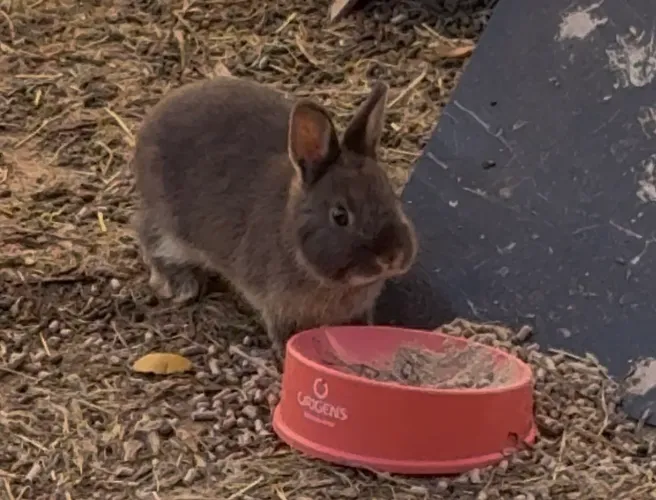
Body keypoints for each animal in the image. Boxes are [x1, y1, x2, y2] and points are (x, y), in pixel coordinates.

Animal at [131, 76, 418, 362]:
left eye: (392, 197)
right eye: (340, 216)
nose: (392, 257)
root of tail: (150, 122)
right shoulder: (275, 304)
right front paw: (283, 351)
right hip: (168, 227)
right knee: (151, 240)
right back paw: (182, 285)